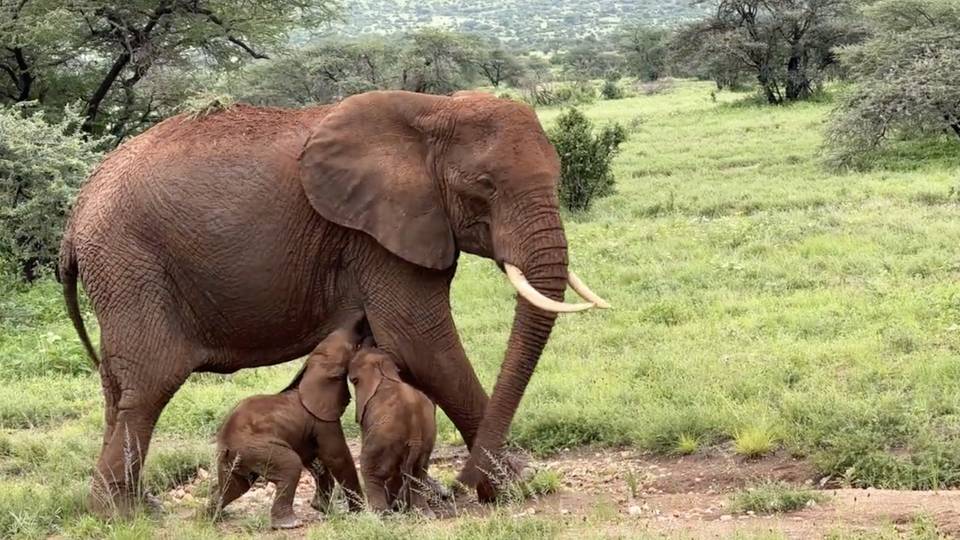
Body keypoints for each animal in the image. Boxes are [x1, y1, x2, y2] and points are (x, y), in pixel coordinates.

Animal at [207, 324, 364, 528]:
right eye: (353, 347)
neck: (312, 366)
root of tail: (225, 442)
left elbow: (316, 460)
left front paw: (321, 508)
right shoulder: (322, 420)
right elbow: (336, 456)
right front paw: (361, 511)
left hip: (233, 458)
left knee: (235, 486)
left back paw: (209, 518)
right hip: (257, 449)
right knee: (290, 464)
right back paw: (289, 524)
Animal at [349, 341, 437, 517]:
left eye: (353, 381)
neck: (381, 370)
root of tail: (415, 433)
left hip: (384, 438)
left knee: (371, 469)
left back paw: (379, 514)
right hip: (425, 440)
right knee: (418, 473)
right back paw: (424, 514)